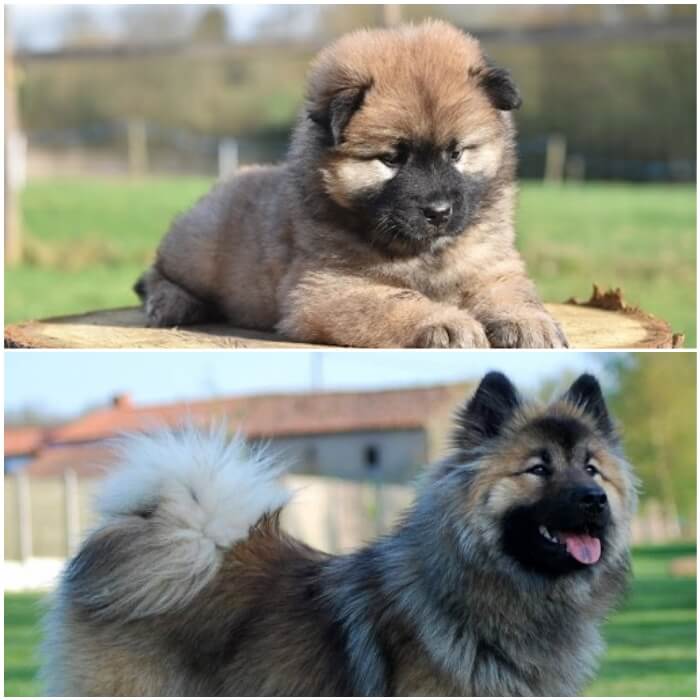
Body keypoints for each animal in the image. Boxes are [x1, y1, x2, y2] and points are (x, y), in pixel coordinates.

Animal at [135, 20, 568, 348]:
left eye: (457, 153)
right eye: (391, 159)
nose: (439, 212)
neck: (422, 254)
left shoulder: (490, 262)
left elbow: (510, 290)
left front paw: (529, 322)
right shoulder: (328, 288)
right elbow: (394, 298)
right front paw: (444, 322)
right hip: (200, 245)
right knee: (155, 272)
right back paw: (171, 301)